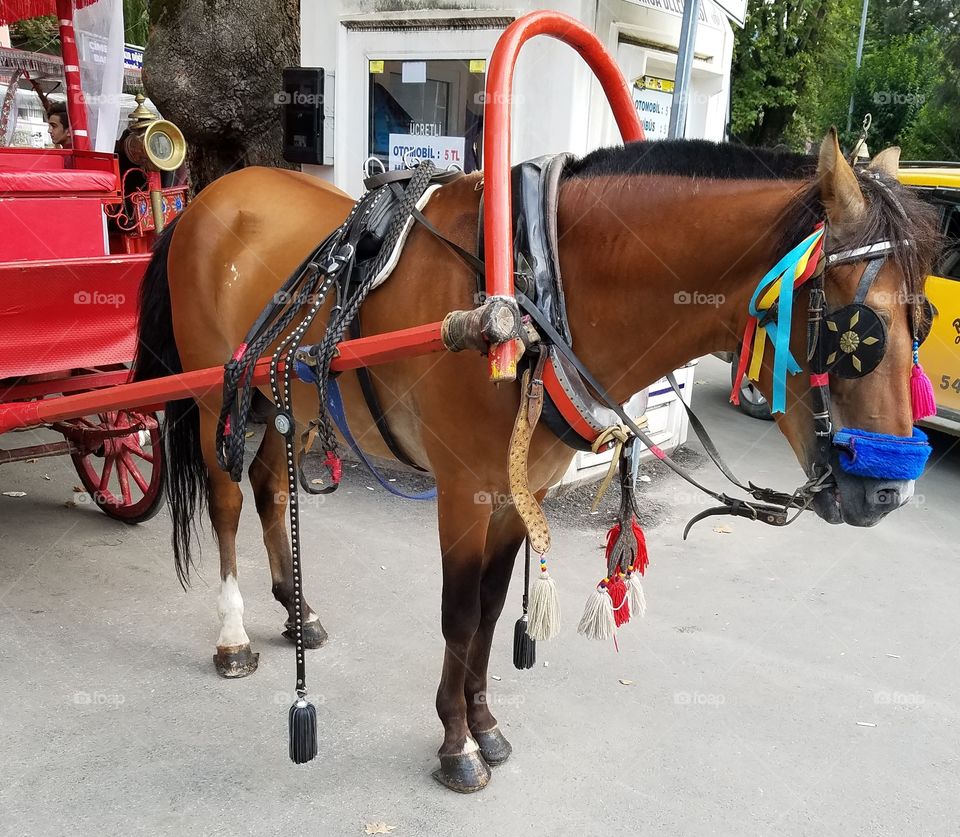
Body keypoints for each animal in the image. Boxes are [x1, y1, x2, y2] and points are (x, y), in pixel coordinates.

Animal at [135, 132, 936, 792]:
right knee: (229, 503)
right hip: (213, 396)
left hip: (280, 399)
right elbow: (459, 614)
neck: (531, 300)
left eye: (921, 318)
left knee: (272, 492)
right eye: (855, 330)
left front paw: (483, 724)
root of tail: (204, 199)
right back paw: (234, 635)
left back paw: (297, 612)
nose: (889, 494)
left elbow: (491, 611)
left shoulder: (522, 492)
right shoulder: (464, 492)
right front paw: (456, 744)